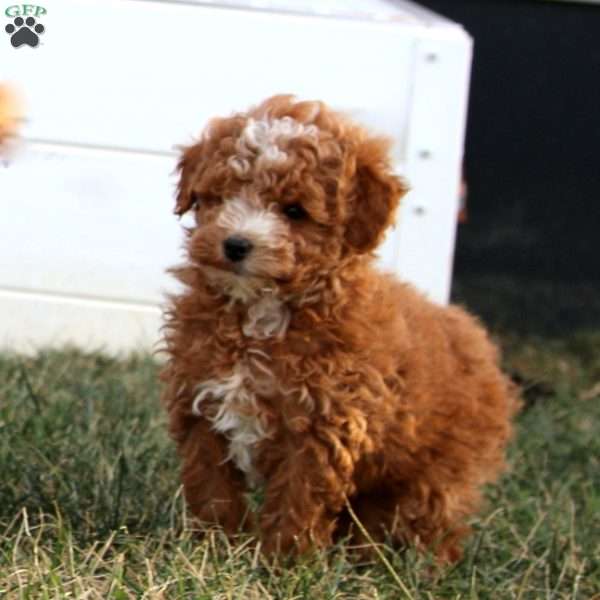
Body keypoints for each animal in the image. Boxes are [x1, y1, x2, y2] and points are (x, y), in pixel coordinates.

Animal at [161, 95, 520, 564]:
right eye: (220, 198)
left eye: (294, 211)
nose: (235, 244)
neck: (260, 315)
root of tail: (475, 338)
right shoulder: (201, 405)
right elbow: (211, 486)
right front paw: (214, 546)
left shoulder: (323, 425)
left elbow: (298, 498)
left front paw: (283, 562)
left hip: (439, 469)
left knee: (436, 521)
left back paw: (423, 567)